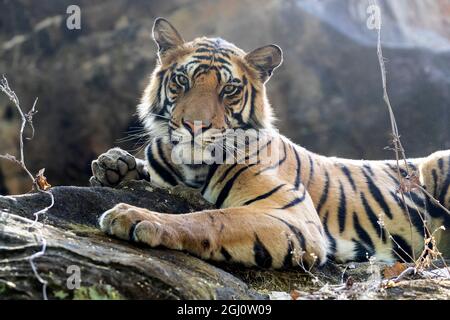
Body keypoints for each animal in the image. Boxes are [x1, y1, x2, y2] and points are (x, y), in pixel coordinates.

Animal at [89, 16, 448, 268]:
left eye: (229, 89)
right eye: (182, 80)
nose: (195, 125)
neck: (192, 167)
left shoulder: (292, 216)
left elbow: (212, 218)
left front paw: (137, 217)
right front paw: (113, 165)